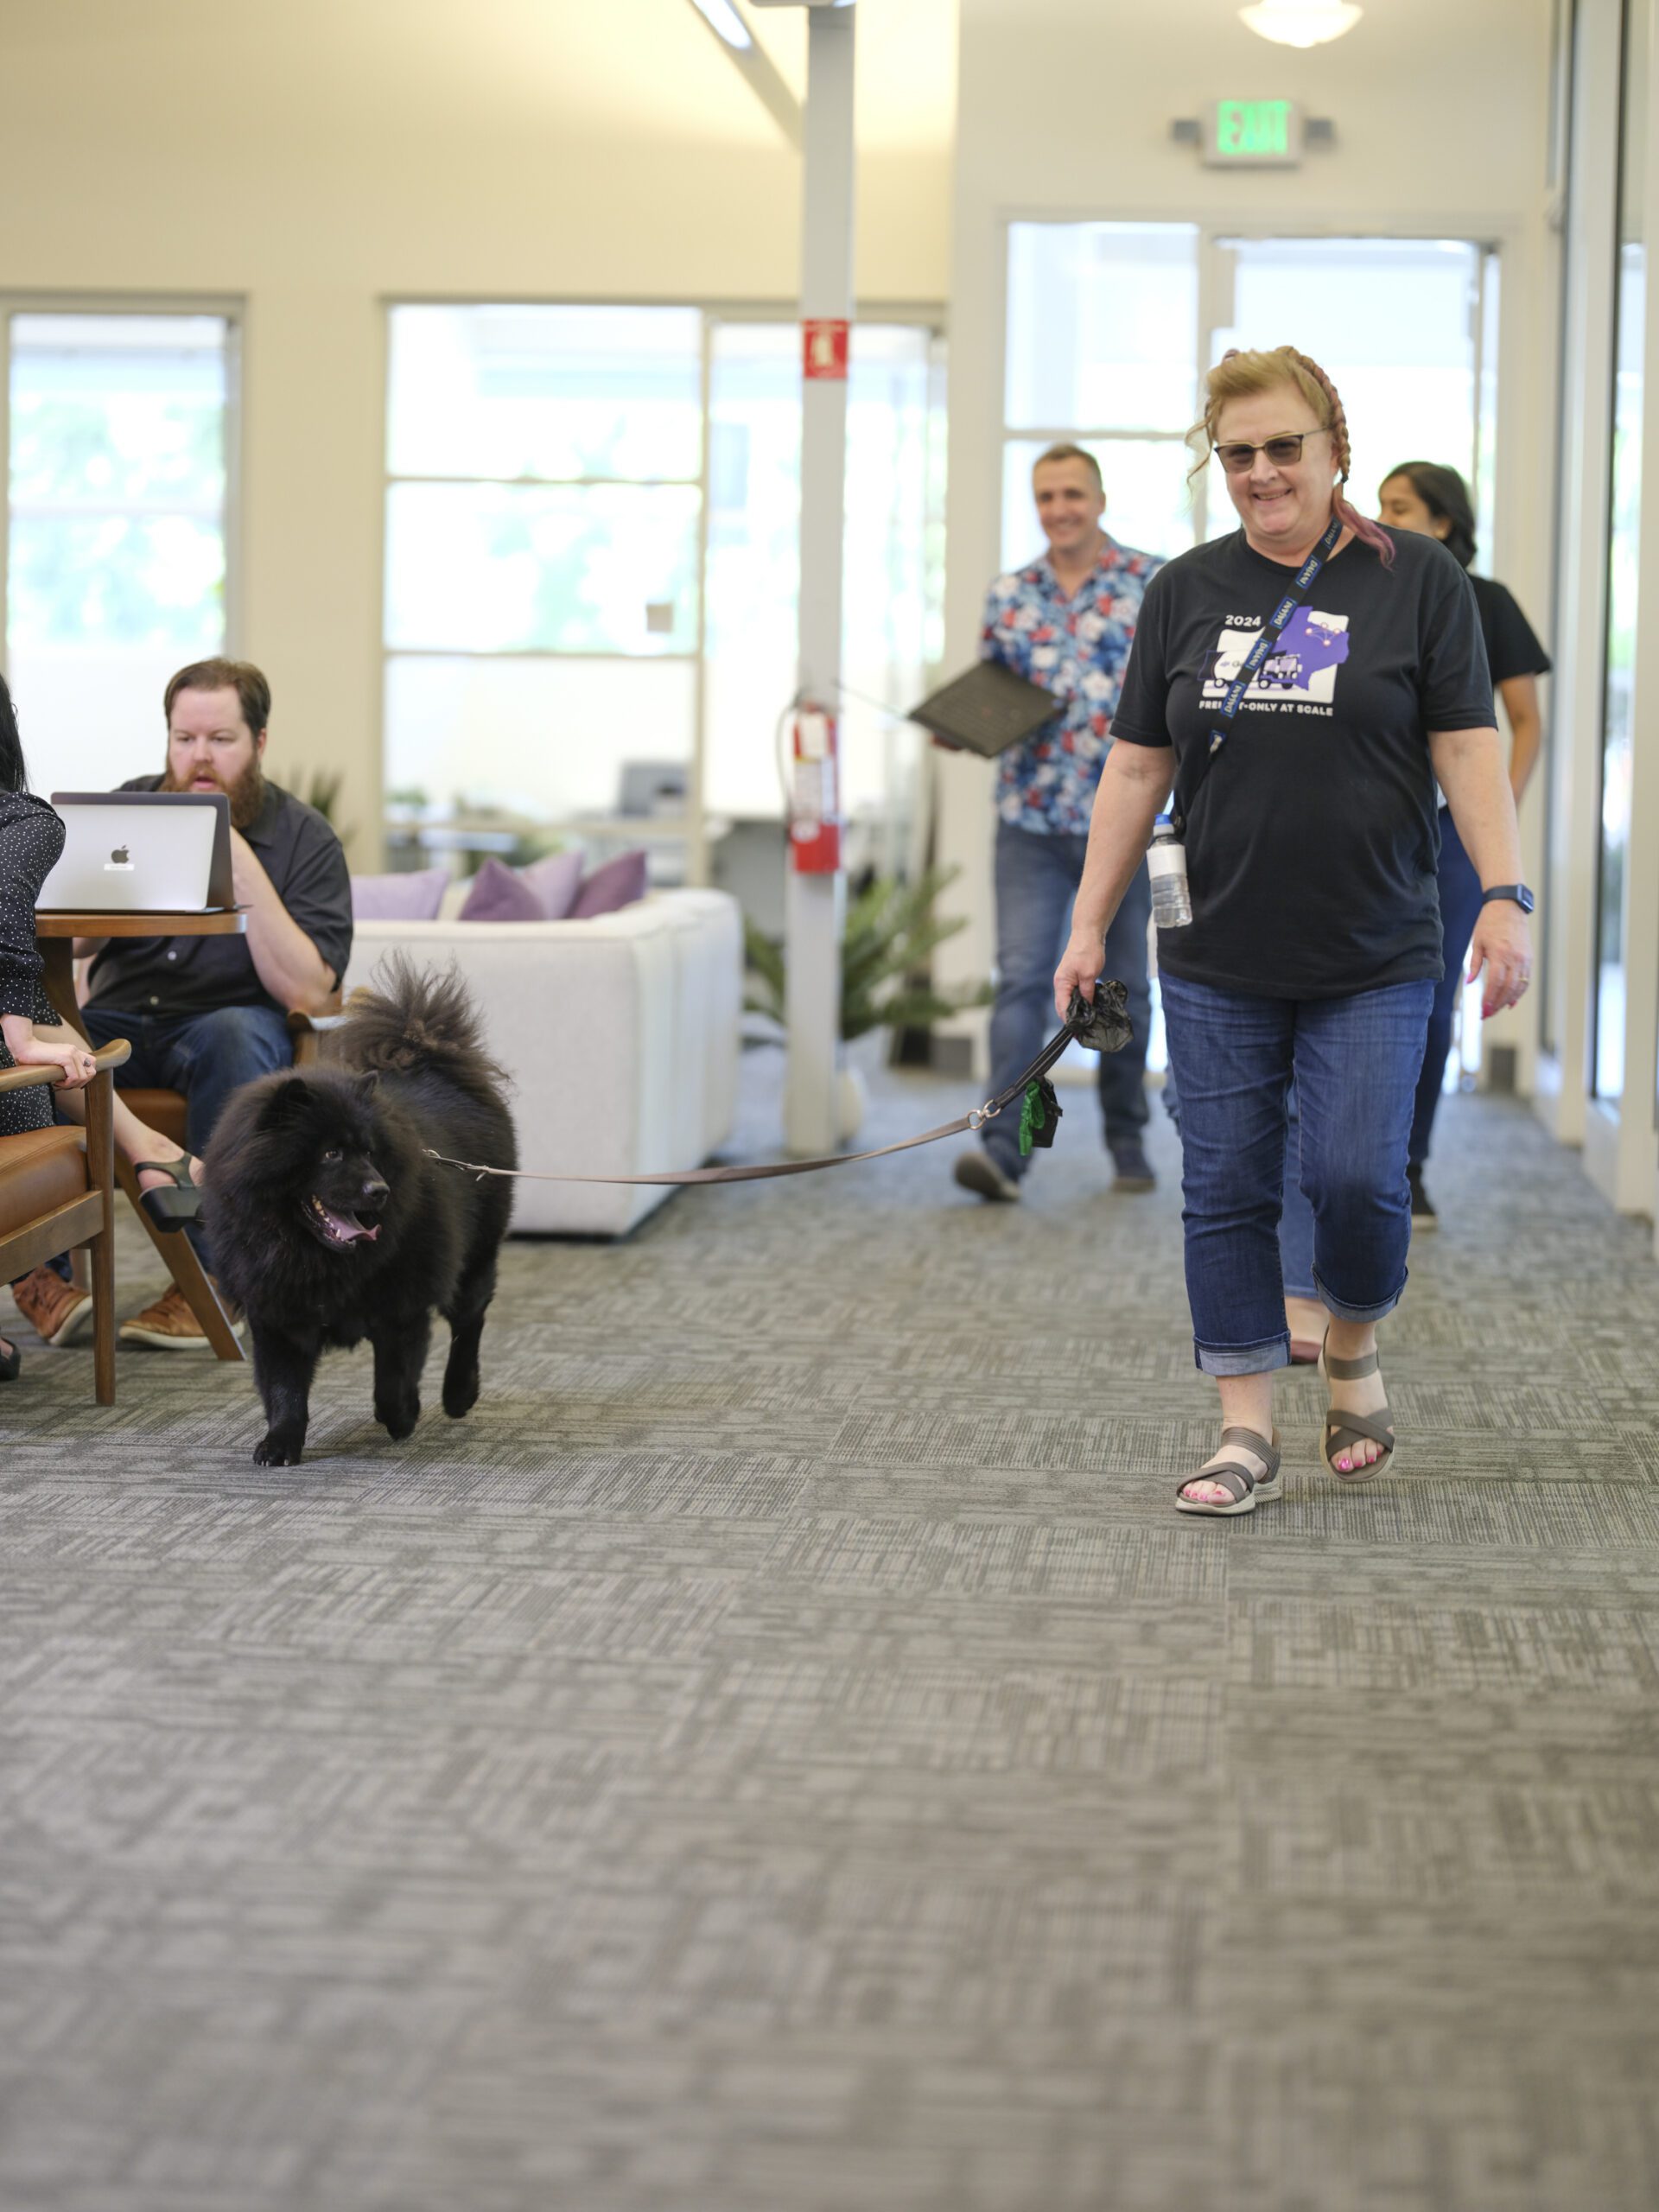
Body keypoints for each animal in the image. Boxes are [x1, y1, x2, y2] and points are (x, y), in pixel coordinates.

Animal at [207, 964, 519, 1468]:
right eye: (331, 1154)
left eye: (370, 1153)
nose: (379, 1190)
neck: (312, 1257)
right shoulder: (277, 1312)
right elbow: (284, 1389)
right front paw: (280, 1444)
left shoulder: (401, 1305)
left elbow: (394, 1377)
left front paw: (403, 1417)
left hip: (477, 1253)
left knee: (468, 1322)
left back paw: (458, 1395)